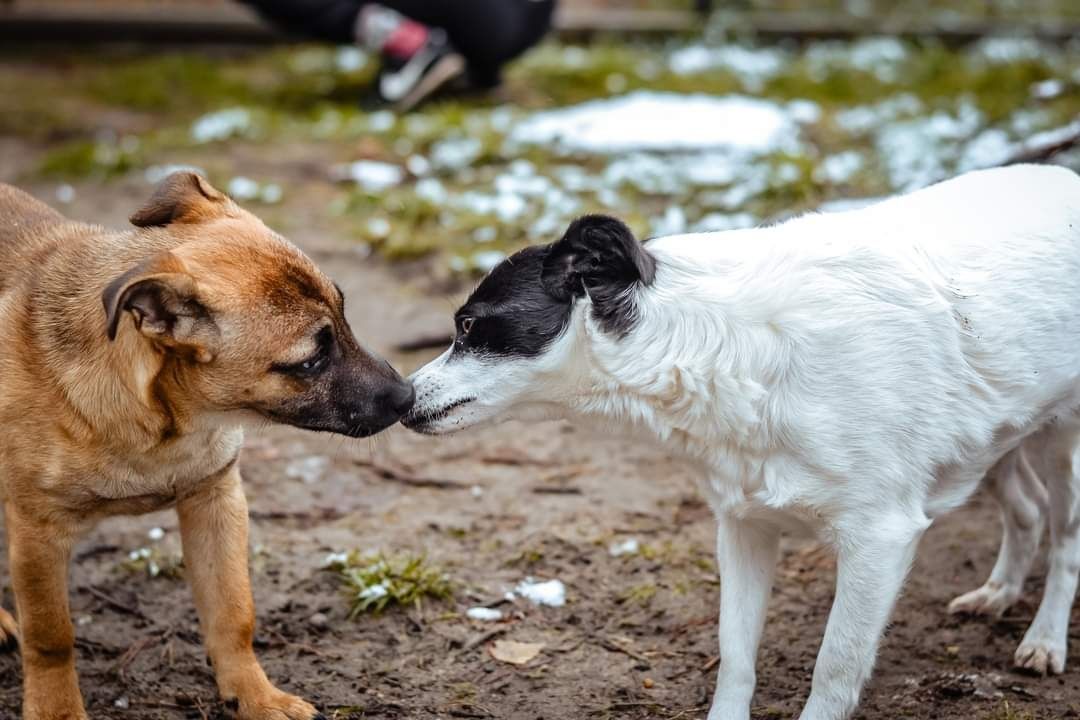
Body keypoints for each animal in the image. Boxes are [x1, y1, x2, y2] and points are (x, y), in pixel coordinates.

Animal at [0, 171, 412, 716]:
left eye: (345, 316)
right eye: (309, 362)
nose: (408, 397)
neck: (167, 419)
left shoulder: (215, 501)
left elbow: (233, 611)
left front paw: (254, 695)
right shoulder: (38, 533)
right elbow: (51, 638)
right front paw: (57, 710)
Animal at [403, 165, 1080, 720]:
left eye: (468, 327)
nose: (401, 399)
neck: (725, 351)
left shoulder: (879, 538)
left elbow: (834, 669)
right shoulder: (744, 526)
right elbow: (735, 658)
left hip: (1065, 443)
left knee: (1064, 540)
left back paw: (1044, 641)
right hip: (990, 436)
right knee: (1025, 510)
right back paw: (998, 594)